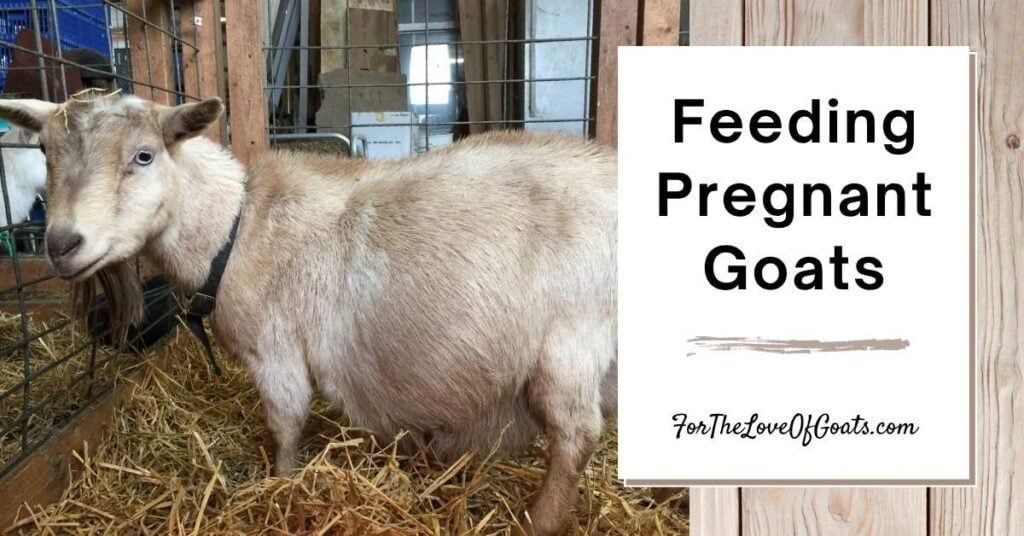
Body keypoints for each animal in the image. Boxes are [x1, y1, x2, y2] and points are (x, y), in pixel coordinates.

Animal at [0, 94, 617, 535]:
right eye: (46, 154)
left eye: (144, 155)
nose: (61, 243)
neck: (235, 227)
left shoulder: (274, 346)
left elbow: (287, 420)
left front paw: (280, 483)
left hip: (573, 339)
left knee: (576, 433)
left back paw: (541, 520)